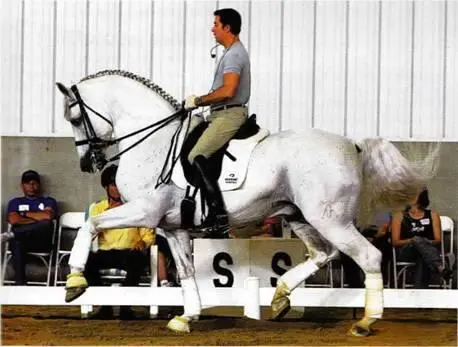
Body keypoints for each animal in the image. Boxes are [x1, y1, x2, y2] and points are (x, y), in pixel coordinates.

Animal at [55, 69, 438, 336]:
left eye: (74, 117)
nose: (87, 163)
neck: (155, 142)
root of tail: (352, 145)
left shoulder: (145, 212)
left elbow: (89, 225)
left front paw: (74, 283)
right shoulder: (173, 227)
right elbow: (186, 272)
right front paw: (186, 317)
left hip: (330, 220)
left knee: (368, 257)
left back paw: (365, 322)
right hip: (300, 216)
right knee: (322, 254)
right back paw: (280, 297)